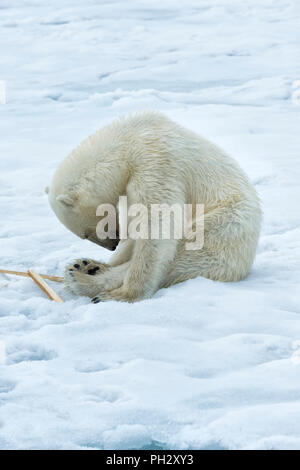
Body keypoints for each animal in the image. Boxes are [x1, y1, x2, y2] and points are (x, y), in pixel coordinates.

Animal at [48, 111, 262, 302]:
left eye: (85, 234)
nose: (113, 244)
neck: (126, 142)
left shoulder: (155, 162)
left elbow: (158, 224)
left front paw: (125, 294)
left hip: (224, 226)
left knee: (185, 256)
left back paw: (83, 281)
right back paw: (86, 265)